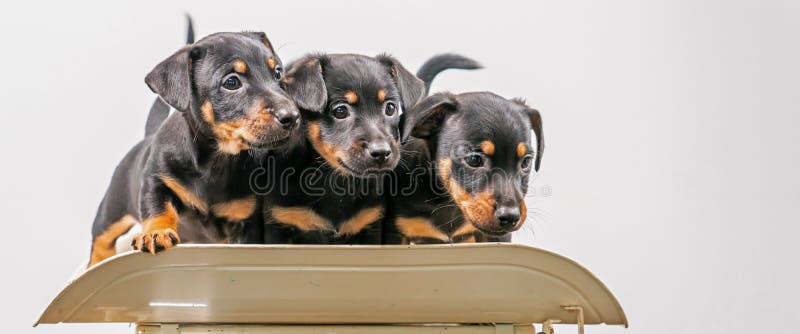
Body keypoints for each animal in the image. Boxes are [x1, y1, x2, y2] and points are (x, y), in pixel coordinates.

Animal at [88, 32, 300, 266]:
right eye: (232, 82)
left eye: (278, 72)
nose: (292, 117)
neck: (217, 159)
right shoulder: (156, 179)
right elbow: (158, 208)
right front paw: (156, 233)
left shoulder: (245, 221)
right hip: (111, 211)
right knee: (101, 241)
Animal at [260, 53, 478, 244]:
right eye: (340, 111)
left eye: (390, 108)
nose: (381, 152)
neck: (334, 182)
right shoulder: (280, 227)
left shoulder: (369, 228)